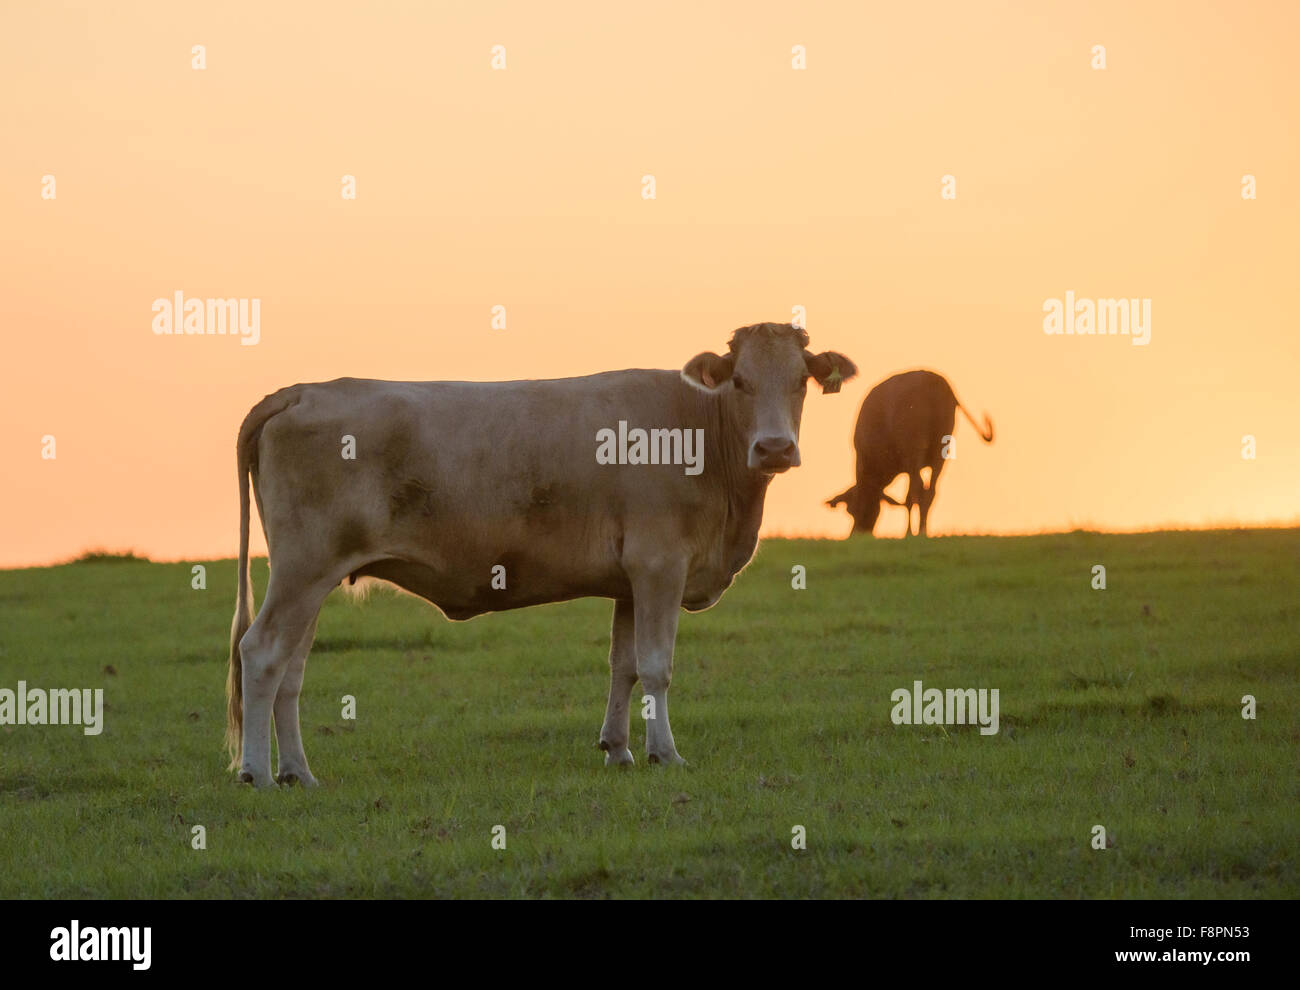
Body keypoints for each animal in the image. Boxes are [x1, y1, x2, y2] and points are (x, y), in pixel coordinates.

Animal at [226, 323, 852, 784]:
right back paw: (257, 773)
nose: (774, 448)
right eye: (740, 382)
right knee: (260, 652)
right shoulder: (660, 565)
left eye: (801, 381)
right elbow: (656, 666)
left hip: (314, 577)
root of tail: (303, 390)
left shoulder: (630, 579)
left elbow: (623, 665)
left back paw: (298, 773)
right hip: (303, 569)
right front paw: (665, 754)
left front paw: (618, 749)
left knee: (290, 668)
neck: (697, 427)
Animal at [826, 368, 987, 535]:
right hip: (940, 452)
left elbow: (911, 495)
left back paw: (911, 531)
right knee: (929, 492)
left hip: (914, 450)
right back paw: (923, 530)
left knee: (916, 492)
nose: (857, 532)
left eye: (850, 511)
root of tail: (936, 382)